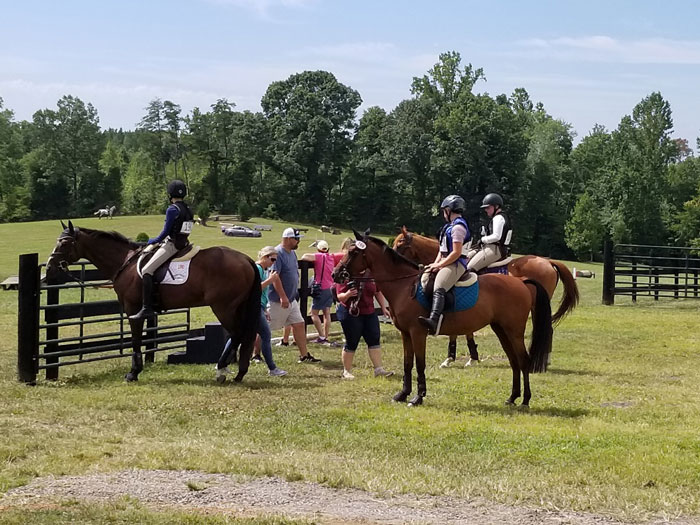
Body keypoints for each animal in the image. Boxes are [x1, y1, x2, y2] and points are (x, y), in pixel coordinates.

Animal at [46, 220, 262, 380]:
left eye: (64, 243)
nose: (49, 268)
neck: (125, 262)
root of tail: (245, 259)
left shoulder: (132, 309)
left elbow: (135, 339)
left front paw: (133, 373)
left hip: (223, 307)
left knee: (236, 334)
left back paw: (221, 370)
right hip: (237, 307)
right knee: (243, 335)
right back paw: (238, 372)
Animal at [334, 231, 552, 408]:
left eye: (353, 252)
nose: (336, 274)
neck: (404, 286)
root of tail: (522, 282)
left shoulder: (417, 333)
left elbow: (419, 364)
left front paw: (418, 397)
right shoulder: (405, 334)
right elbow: (407, 364)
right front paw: (402, 394)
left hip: (514, 332)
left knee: (523, 361)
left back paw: (525, 400)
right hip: (501, 330)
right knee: (514, 361)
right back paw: (512, 398)